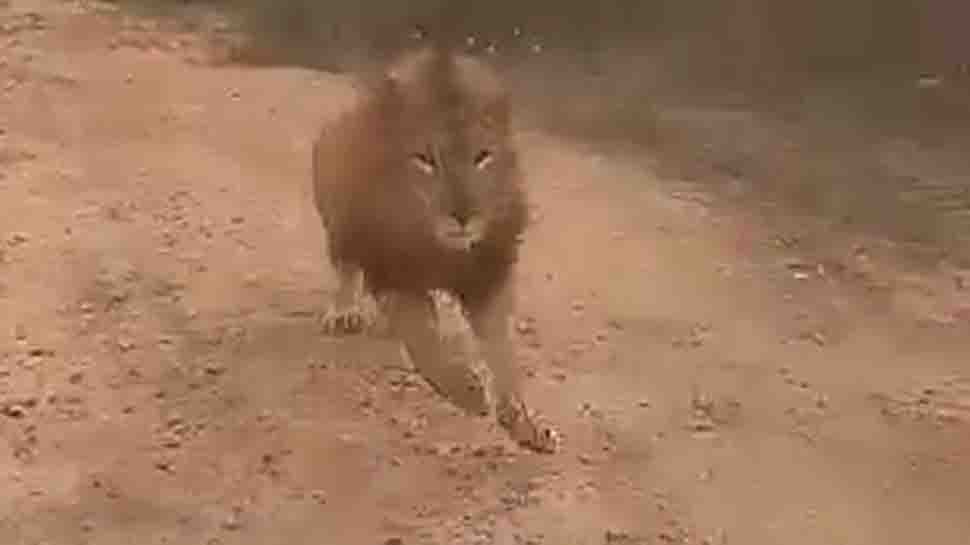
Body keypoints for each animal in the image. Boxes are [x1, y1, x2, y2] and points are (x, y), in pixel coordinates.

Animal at [310, 41, 560, 450]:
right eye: (425, 160)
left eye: (482, 156)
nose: (462, 216)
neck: (441, 249)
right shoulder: (392, 274)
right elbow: (424, 341)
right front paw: (466, 389)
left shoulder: (489, 275)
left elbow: (503, 353)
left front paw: (522, 422)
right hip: (337, 215)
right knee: (346, 267)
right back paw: (344, 312)